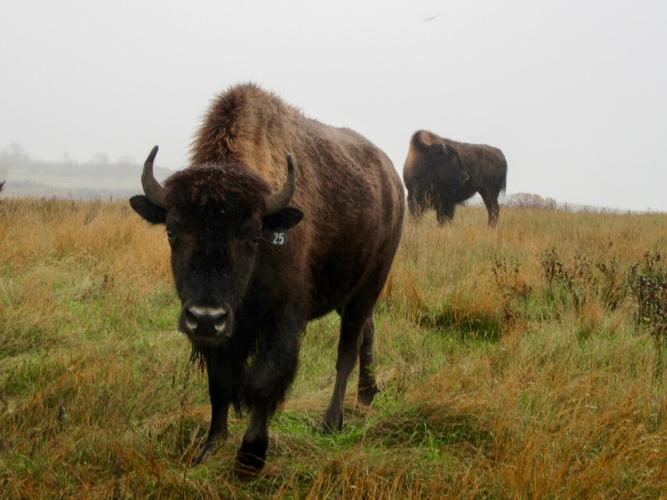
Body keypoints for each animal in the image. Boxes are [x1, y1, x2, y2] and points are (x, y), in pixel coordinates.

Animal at [130, 83, 404, 471]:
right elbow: (220, 383)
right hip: (348, 294)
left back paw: (330, 421)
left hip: (369, 285)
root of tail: (393, 181)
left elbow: (263, 381)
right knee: (368, 331)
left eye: (253, 235)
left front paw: (250, 457)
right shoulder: (225, 331)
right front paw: (209, 447)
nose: (205, 318)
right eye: (172, 232)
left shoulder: (283, 317)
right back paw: (366, 397)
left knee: (347, 350)